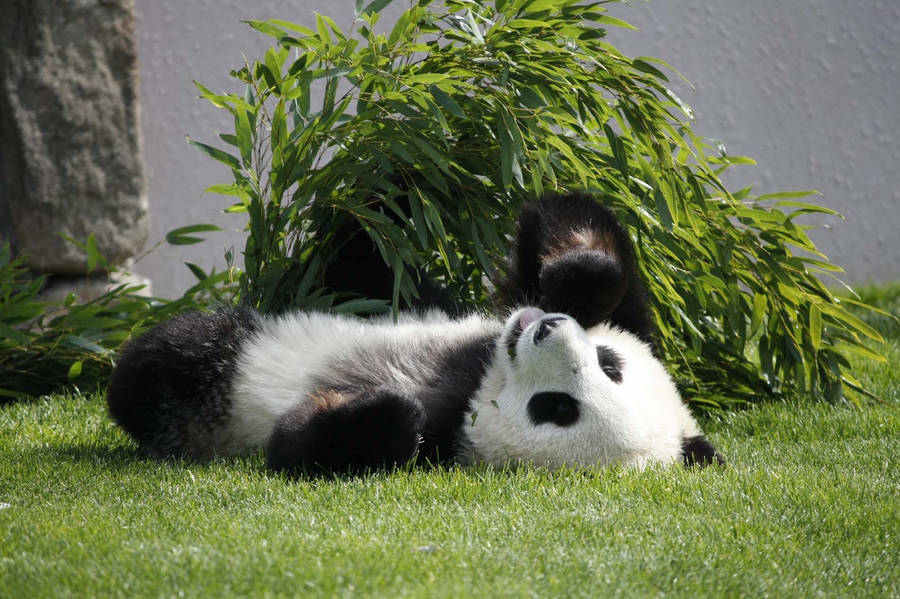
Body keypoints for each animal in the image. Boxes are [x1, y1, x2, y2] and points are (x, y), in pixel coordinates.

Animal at [107, 194, 723, 475]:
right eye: (609, 362)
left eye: (558, 409)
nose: (545, 328)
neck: (481, 378)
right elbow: (585, 231)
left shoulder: (449, 442)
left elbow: (304, 447)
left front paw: (381, 408)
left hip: (217, 386)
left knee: (176, 361)